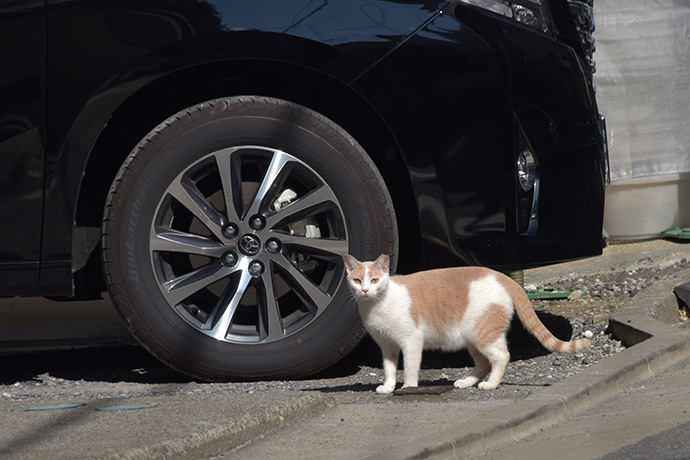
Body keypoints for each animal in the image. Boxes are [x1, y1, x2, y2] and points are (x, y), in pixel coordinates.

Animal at [342, 253, 588, 394]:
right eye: (357, 280)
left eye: (375, 280)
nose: (365, 290)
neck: (377, 304)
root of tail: (501, 276)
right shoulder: (387, 346)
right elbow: (390, 368)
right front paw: (389, 386)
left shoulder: (411, 341)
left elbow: (410, 368)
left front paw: (408, 388)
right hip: (473, 339)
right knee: (484, 364)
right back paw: (467, 382)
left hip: (483, 334)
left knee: (502, 357)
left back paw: (491, 385)